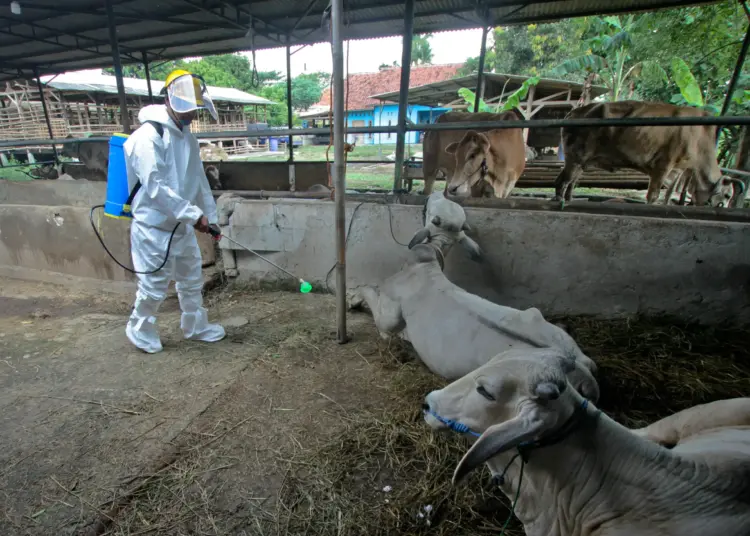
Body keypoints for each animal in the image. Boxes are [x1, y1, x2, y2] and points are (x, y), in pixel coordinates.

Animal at [346, 193, 600, 398]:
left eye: (434, 208)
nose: (433, 194)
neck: (427, 263)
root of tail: (576, 370)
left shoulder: (389, 317)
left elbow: (370, 293)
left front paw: (353, 298)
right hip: (546, 326)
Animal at [556, 101, 744, 206]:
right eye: (727, 195)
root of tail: (574, 112)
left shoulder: (678, 169)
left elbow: (669, 193)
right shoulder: (663, 164)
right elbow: (653, 195)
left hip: (582, 161)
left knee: (571, 183)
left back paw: (569, 200)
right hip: (576, 157)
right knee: (563, 181)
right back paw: (560, 201)